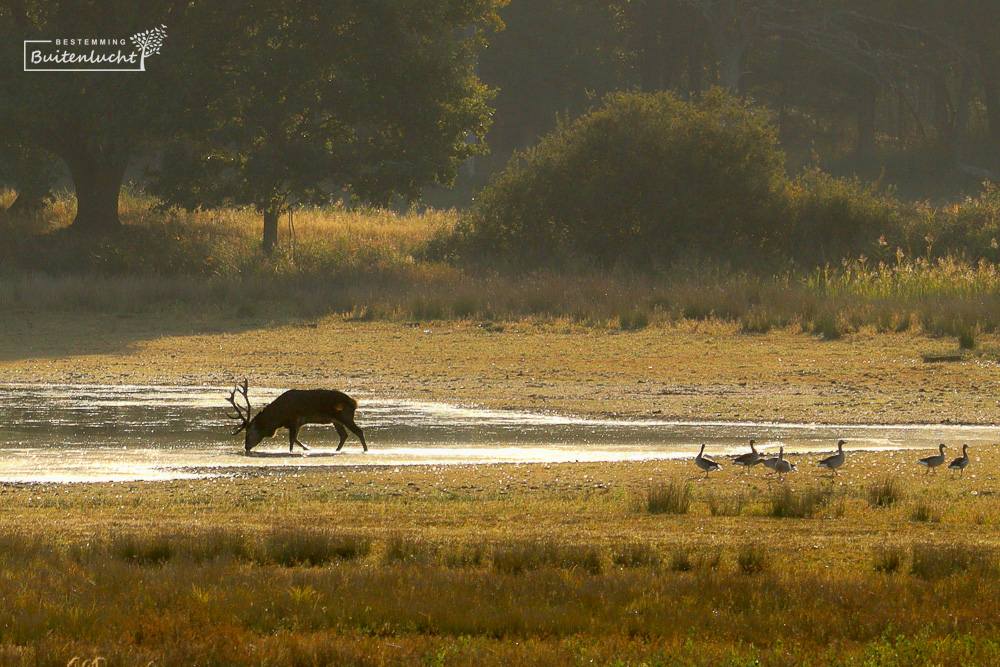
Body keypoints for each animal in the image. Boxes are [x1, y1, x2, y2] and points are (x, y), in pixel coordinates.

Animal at [226, 380, 368, 454]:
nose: (246, 447)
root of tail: (354, 402)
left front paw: (299, 450)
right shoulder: (297, 423)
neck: (279, 417)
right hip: (336, 421)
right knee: (344, 435)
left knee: (359, 431)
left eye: (249, 433)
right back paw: (336, 450)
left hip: (346, 416)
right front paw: (307, 448)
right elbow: (294, 439)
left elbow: (292, 440)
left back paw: (365, 450)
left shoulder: (294, 420)